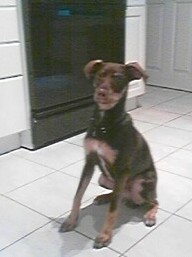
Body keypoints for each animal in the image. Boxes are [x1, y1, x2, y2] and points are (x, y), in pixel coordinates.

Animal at [59, 59, 158, 248]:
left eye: (118, 78)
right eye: (99, 76)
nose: (101, 92)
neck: (104, 123)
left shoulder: (122, 169)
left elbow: (113, 209)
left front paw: (104, 236)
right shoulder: (89, 162)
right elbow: (78, 195)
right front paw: (71, 221)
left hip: (139, 183)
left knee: (154, 201)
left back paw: (149, 215)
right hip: (103, 179)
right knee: (119, 195)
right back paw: (105, 197)